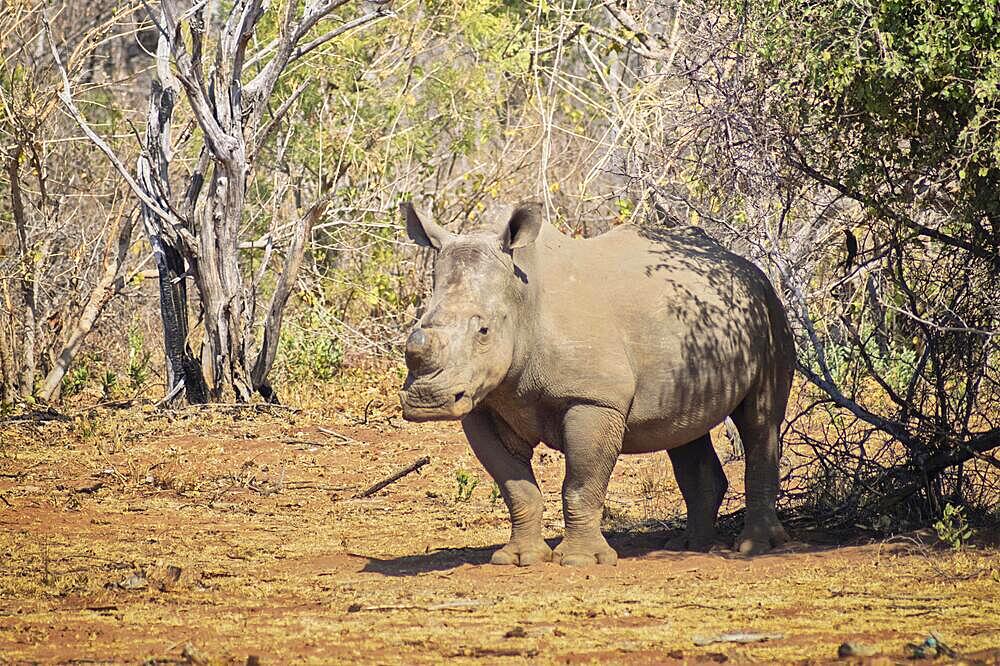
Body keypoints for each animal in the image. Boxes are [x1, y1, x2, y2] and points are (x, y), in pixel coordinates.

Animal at [394, 200, 792, 564]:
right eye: (419, 325)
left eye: (483, 331)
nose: (427, 399)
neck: (523, 299)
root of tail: (745, 266)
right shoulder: (482, 406)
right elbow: (516, 487)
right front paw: (518, 558)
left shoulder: (594, 400)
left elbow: (580, 486)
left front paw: (580, 560)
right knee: (683, 429)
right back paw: (689, 546)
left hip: (769, 309)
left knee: (760, 420)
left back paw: (753, 547)